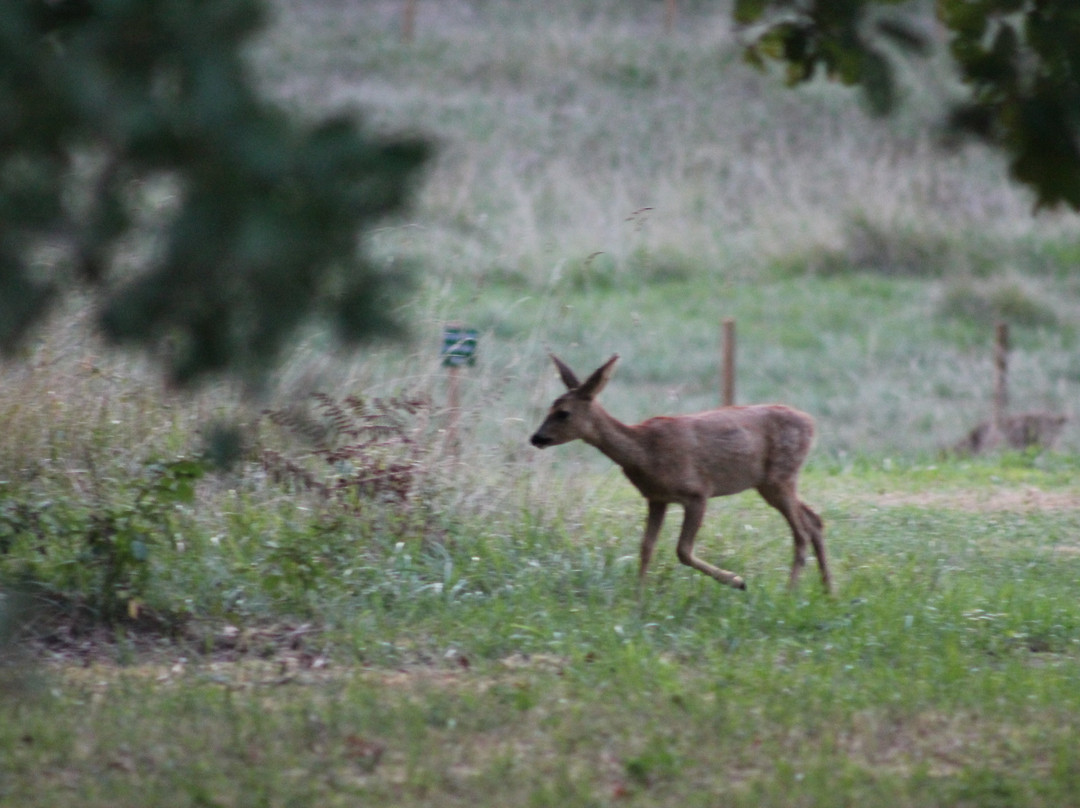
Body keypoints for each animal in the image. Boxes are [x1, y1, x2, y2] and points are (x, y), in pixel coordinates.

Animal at [527, 354, 829, 591]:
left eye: (563, 413)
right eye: (549, 408)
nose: (536, 438)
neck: (644, 452)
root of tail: (812, 424)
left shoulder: (697, 492)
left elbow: (682, 551)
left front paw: (737, 580)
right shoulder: (656, 497)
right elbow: (645, 548)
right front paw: (638, 599)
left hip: (780, 477)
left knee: (801, 532)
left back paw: (790, 592)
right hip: (771, 483)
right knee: (814, 520)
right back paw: (828, 592)